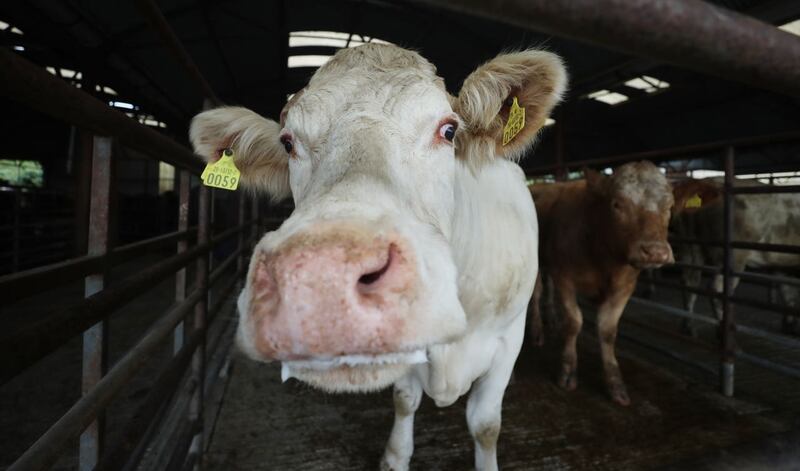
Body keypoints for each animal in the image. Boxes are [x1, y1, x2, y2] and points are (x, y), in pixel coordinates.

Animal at [190, 44, 564, 471]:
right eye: (287, 143)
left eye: (448, 130)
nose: (323, 278)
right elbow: (405, 400)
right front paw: (394, 456)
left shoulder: (506, 340)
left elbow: (485, 426)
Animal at [528, 162, 684, 406]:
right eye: (617, 204)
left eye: (669, 205)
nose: (655, 251)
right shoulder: (565, 278)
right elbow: (573, 322)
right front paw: (567, 371)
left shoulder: (625, 287)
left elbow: (608, 330)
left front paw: (615, 383)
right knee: (536, 292)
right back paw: (537, 332)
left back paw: (551, 319)